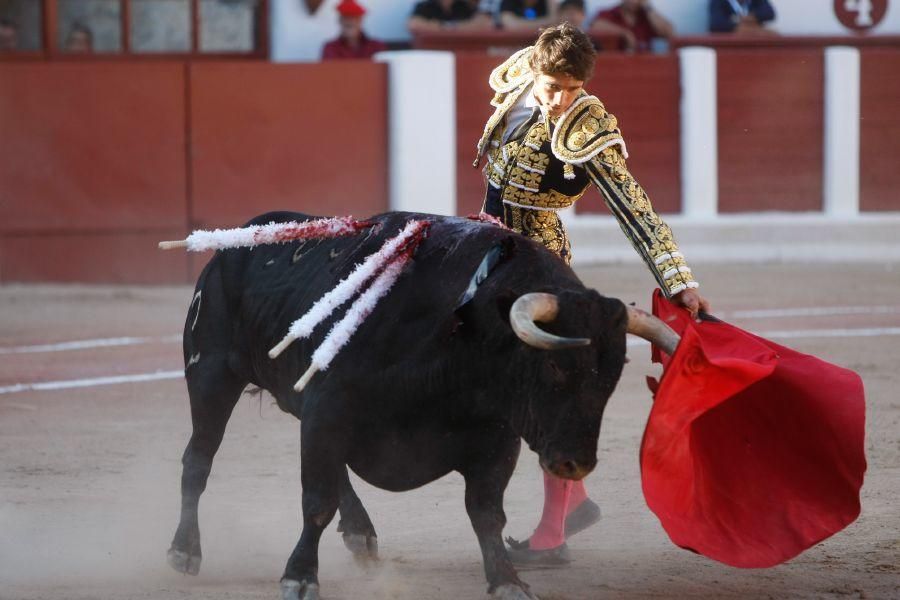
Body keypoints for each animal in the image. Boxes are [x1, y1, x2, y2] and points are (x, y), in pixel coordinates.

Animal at [169, 211, 660, 600]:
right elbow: (317, 502)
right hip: (211, 374)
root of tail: (238, 238)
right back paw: (184, 550)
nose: (575, 462)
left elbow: (487, 513)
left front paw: (507, 580)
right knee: (198, 459)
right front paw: (300, 577)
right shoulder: (328, 412)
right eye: (555, 365)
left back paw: (361, 534)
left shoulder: (497, 440)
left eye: (612, 375)